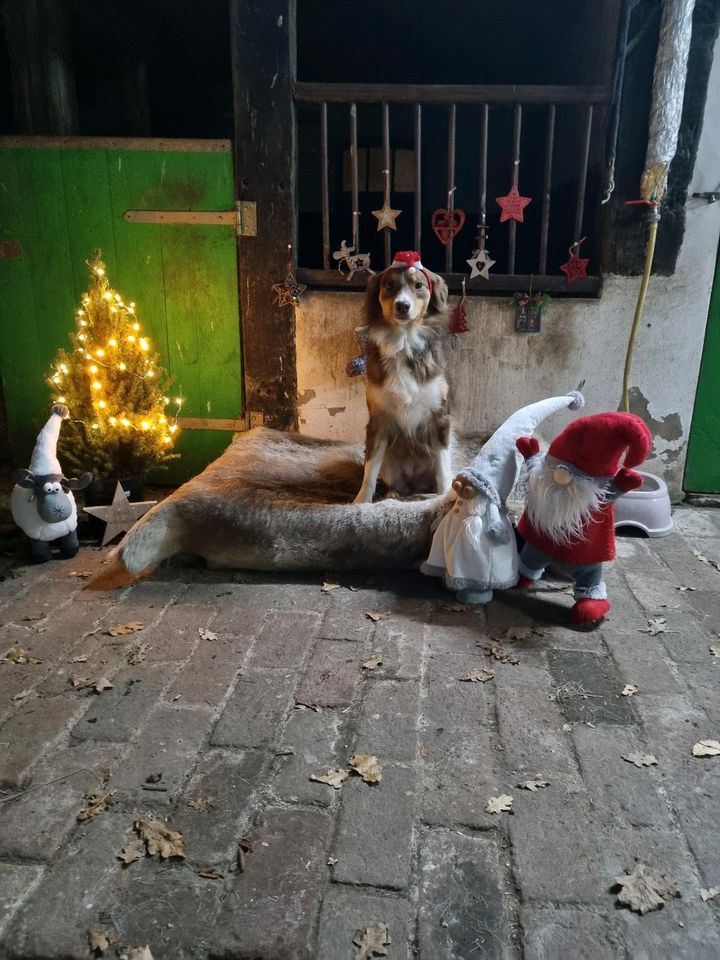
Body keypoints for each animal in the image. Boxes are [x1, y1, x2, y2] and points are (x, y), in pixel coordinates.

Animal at [352, 248, 452, 506]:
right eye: (389, 285)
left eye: (418, 286)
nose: (402, 306)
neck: (404, 341)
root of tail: (413, 483)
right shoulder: (377, 420)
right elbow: (370, 469)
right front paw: (360, 502)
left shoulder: (440, 416)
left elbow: (443, 466)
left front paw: (445, 496)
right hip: (391, 464)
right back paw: (393, 494)